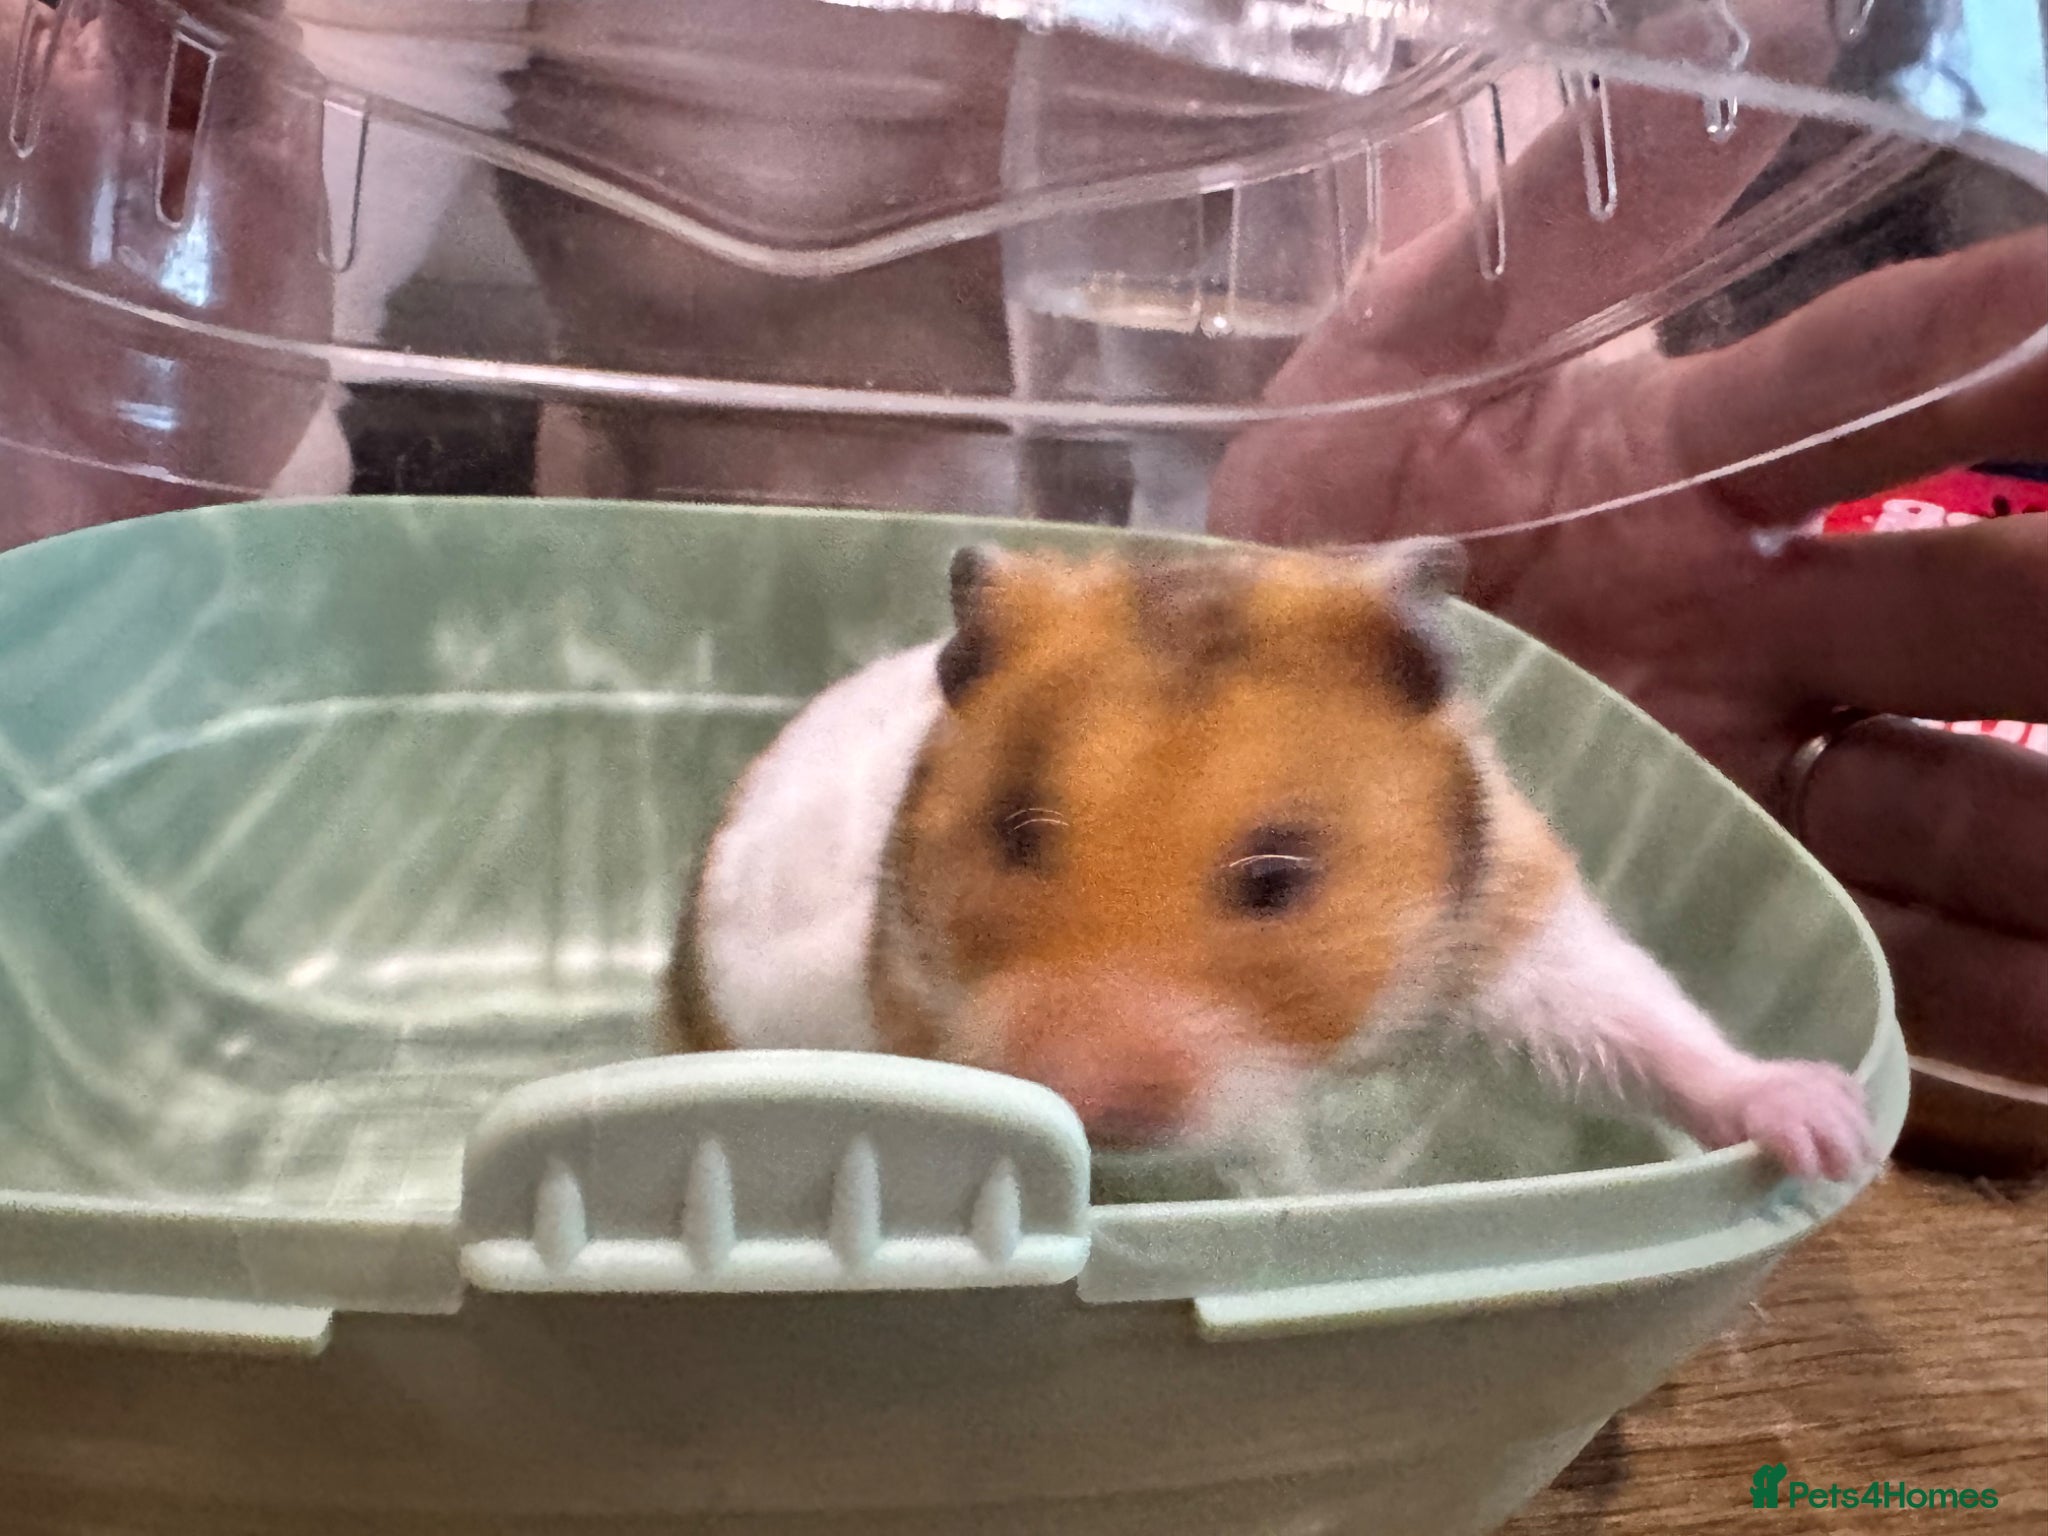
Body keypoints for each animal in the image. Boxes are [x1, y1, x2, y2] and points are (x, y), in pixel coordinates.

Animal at [667, 541, 1872, 1186]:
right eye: (1015, 832)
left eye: (1278, 878)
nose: (1084, 1096)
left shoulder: (1514, 925)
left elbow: (1642, 1025)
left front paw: (1831, 1139)